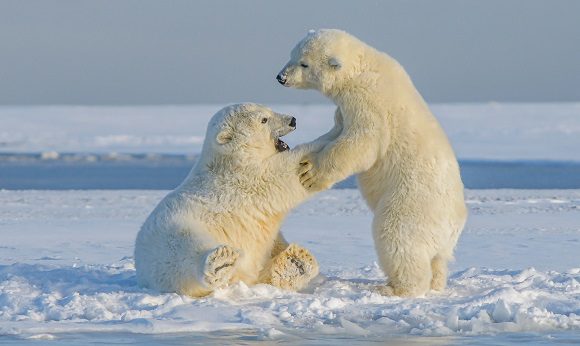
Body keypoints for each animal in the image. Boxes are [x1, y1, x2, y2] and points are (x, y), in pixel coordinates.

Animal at [134, 103, 320, 298]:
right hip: (173, 232)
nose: (293, 120)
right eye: (264, 119)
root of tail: (142, 270)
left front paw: (295, 262)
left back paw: (296, 260)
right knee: (185, 250)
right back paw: (220, 263)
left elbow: (271, 243)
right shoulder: (245, 179)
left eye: (269, 110)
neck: (229, 159)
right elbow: (281, 175)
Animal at [276, 29, 466, 298]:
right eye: (292, 55)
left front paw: (310, 173)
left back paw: (395, 288)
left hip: (411, 204)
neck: (363, 66)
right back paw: (436, 283)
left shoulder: (368, 102)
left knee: (396, 238)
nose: (281, 77)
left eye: (304, 63)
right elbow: (338, 129)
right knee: (438, 259)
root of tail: (454, 225)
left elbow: (361, 142)